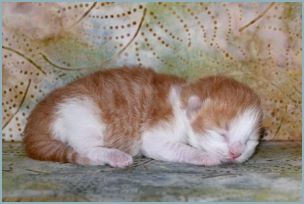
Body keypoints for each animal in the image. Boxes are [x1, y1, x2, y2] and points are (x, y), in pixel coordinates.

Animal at [23, 67, 262, 167]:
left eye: (249, 141)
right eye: (222, 133)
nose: (236, 153)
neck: (181, 101)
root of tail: (40, 115)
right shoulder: (157, 133)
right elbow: (180, 148)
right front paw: (206, 157)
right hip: (83, 115)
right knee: (86, 148)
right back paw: (114, 156)